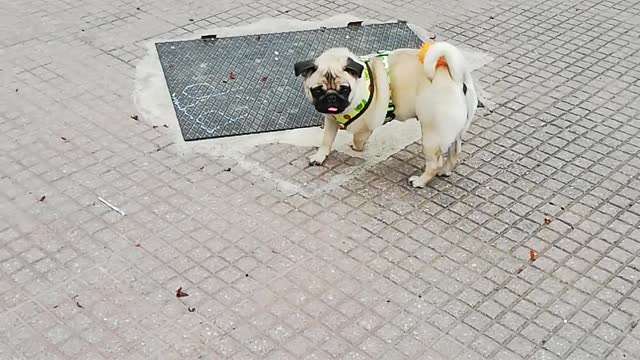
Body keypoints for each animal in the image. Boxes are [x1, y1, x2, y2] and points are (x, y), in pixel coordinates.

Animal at [294, 41, 476, 188]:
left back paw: (420, 181)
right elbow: (326, 140)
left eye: (344, 89)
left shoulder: (364, 127)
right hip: (451, 132)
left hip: (432, 134)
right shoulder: (330, 120)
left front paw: (355, 148)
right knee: (454, 152)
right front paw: (320, 156)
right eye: (317, 91)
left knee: (434, 163)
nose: (331, 97)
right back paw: (445, 171)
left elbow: (358, 140)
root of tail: (457, 79)